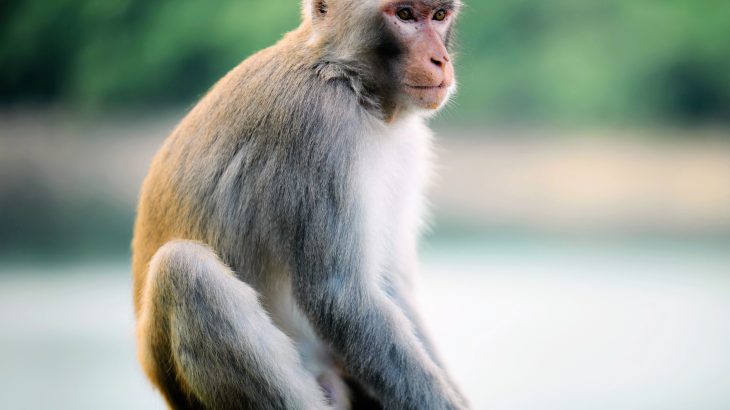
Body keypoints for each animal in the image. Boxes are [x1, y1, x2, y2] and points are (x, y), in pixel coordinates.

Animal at [131, 0, 467, 409]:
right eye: (404, 15)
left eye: (439, 16)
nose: (440, 59)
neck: (347, 79)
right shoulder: (321, 127)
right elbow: (340, 298)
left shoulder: (407, 146)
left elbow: (388, 283)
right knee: (184, 270)